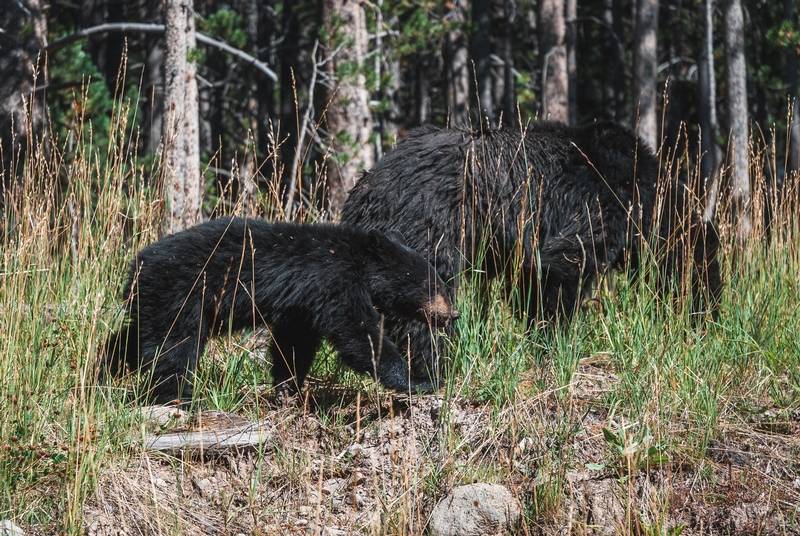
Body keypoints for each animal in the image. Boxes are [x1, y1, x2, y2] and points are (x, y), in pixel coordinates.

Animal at [103, 216, 460, 400]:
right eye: (433, 286)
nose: (452, 314)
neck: (358, 260)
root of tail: (136, 265)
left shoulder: (302, 303)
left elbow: (294, 342)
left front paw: (288, 387)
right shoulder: (334, 282)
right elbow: (359, 334)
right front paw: (421, 380)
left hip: (156, 302)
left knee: (134, 340)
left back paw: (104, 369)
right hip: (182, 294)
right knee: (173, 346)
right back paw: (176, 394)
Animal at [340, 122, 720, 378]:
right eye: (709, 275)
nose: (711, 318)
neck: (644, 199)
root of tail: (364, 190)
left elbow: (530, 282)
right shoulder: (595, 204)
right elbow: (560, 267)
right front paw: (552, 342)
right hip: (430, 223)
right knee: (423, 295)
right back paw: (434, 361)